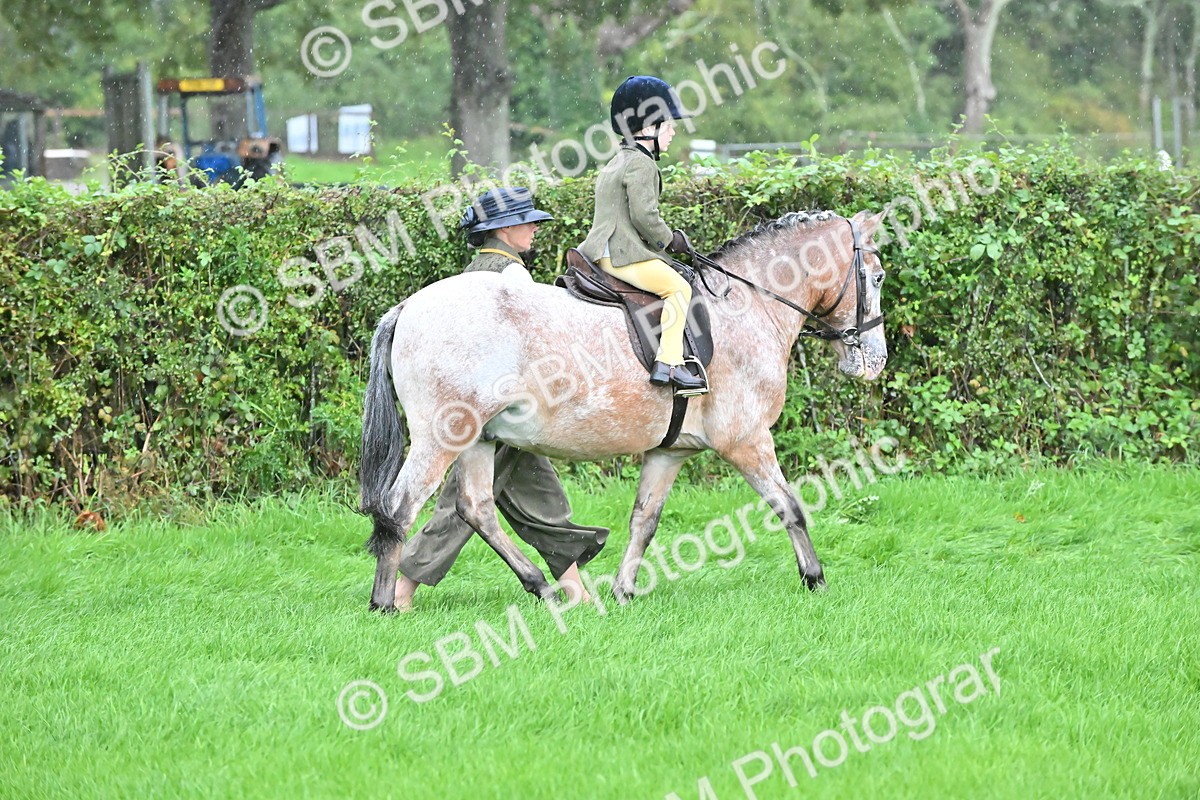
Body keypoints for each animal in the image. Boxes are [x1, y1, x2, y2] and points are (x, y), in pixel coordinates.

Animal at [359, 209, 889, 611]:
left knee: (476, 509)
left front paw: (624, 590)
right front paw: (814, 578)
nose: (875, 361)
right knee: (400, 507)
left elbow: (644, 520)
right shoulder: (747, 441)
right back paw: (385, 602)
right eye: (878, 276)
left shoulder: (670, 452)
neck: (745, 307)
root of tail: (407, 307)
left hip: (478, 440)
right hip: (441, 439)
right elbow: (790, 507)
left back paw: (543, 588)